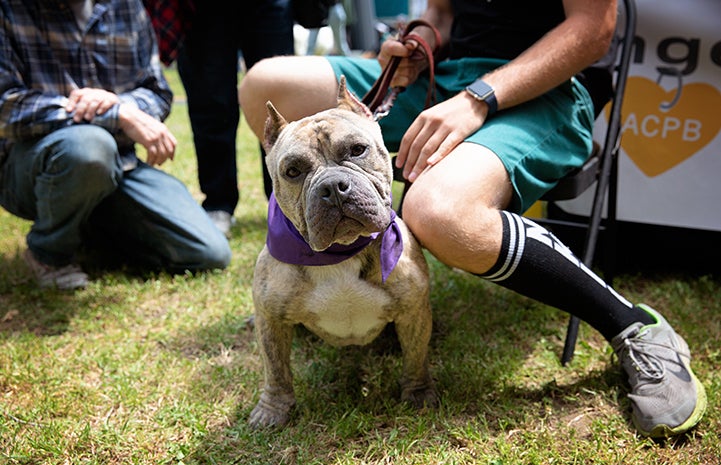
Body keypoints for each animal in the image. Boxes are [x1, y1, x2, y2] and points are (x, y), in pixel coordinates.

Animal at [248, 76, 438, 428]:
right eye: (292, 171)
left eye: (357, 150)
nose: (333, 187)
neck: (341, 252)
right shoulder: (271, 319)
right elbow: (276, 369)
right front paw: (272, 409)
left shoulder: (413, 312)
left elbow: (416, 357)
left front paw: (418, 394)